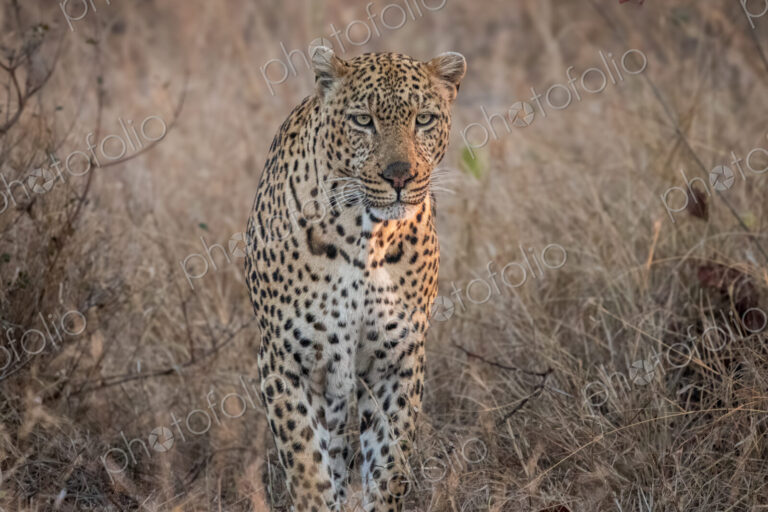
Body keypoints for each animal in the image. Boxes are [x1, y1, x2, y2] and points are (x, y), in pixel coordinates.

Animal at [245, 47, 466, 512]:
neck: (365, 237)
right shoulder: (286, 363)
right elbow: (307, 467)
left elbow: (389, 464)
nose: (399, 175)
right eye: (363, 120)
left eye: (424, 119)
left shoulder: (397, 361)